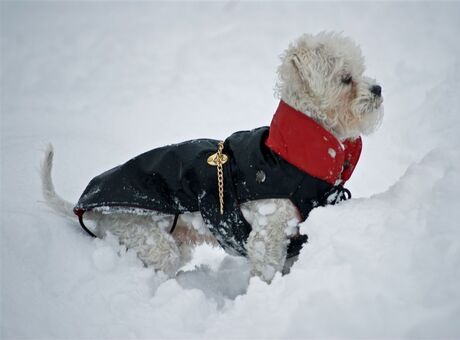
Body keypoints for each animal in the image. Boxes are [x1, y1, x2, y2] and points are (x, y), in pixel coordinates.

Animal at [41, 32, 382, 282]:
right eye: (346, 78)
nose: (378, 89)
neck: (291, 153)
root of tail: (86, 208)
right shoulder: (268, 234)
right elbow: (266, 269)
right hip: (145, 236)